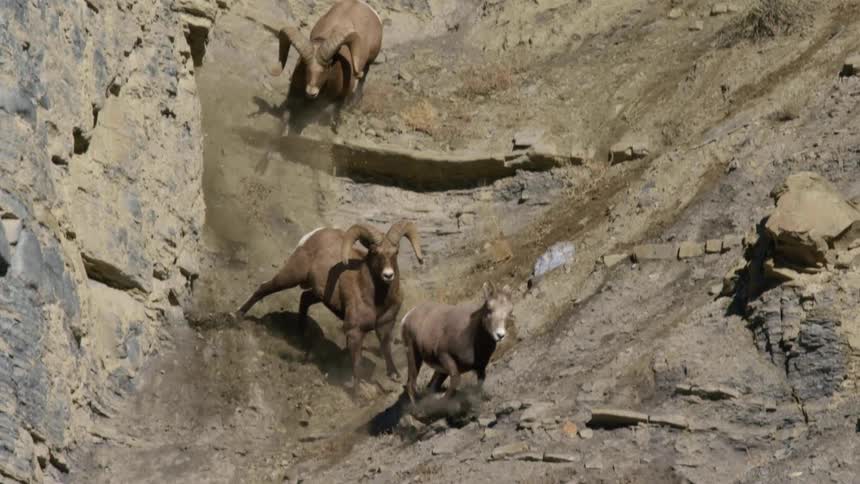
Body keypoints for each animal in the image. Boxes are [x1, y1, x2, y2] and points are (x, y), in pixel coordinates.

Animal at [236, 220, 423, 391]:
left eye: (395, 252)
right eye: (374, 252)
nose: (388, 275)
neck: (377, 301)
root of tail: (313, 235)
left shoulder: (385, 325)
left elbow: (385, 347)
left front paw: (394, 375)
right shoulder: (354, 332)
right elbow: (356, 364)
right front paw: (357, 393)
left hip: (318, 294)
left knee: (304, 299)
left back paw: (300, 335)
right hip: (291, 276)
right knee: (264, 289)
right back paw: (238, 316)